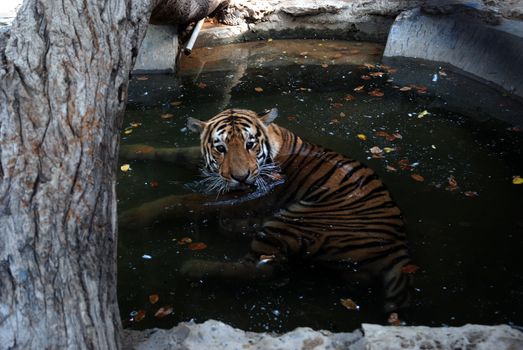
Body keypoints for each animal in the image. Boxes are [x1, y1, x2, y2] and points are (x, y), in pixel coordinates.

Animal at [184, 107, 414, 312]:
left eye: (250, 144)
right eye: (221, 148)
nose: (241, 177)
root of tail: (399, 249)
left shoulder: (250, 195)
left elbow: (189, 201)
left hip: (288, 222)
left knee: (259, 270)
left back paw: (191, 267)